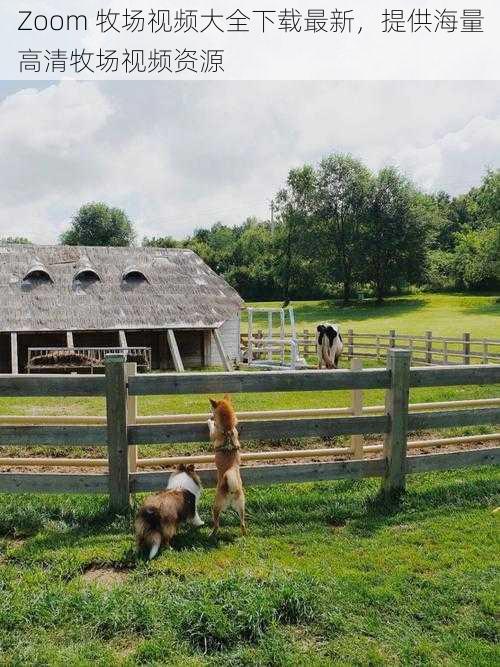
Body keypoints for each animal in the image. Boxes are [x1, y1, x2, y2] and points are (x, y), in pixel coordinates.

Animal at [207, 396, 246, 536]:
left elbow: (211, 429)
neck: (227, 429)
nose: (210, 413)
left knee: (217, 523)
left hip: (216, 506)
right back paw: (244, 534)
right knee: (242, 523)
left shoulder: (213, 433)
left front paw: (210, 421)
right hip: (241, 506)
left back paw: (212, 534)